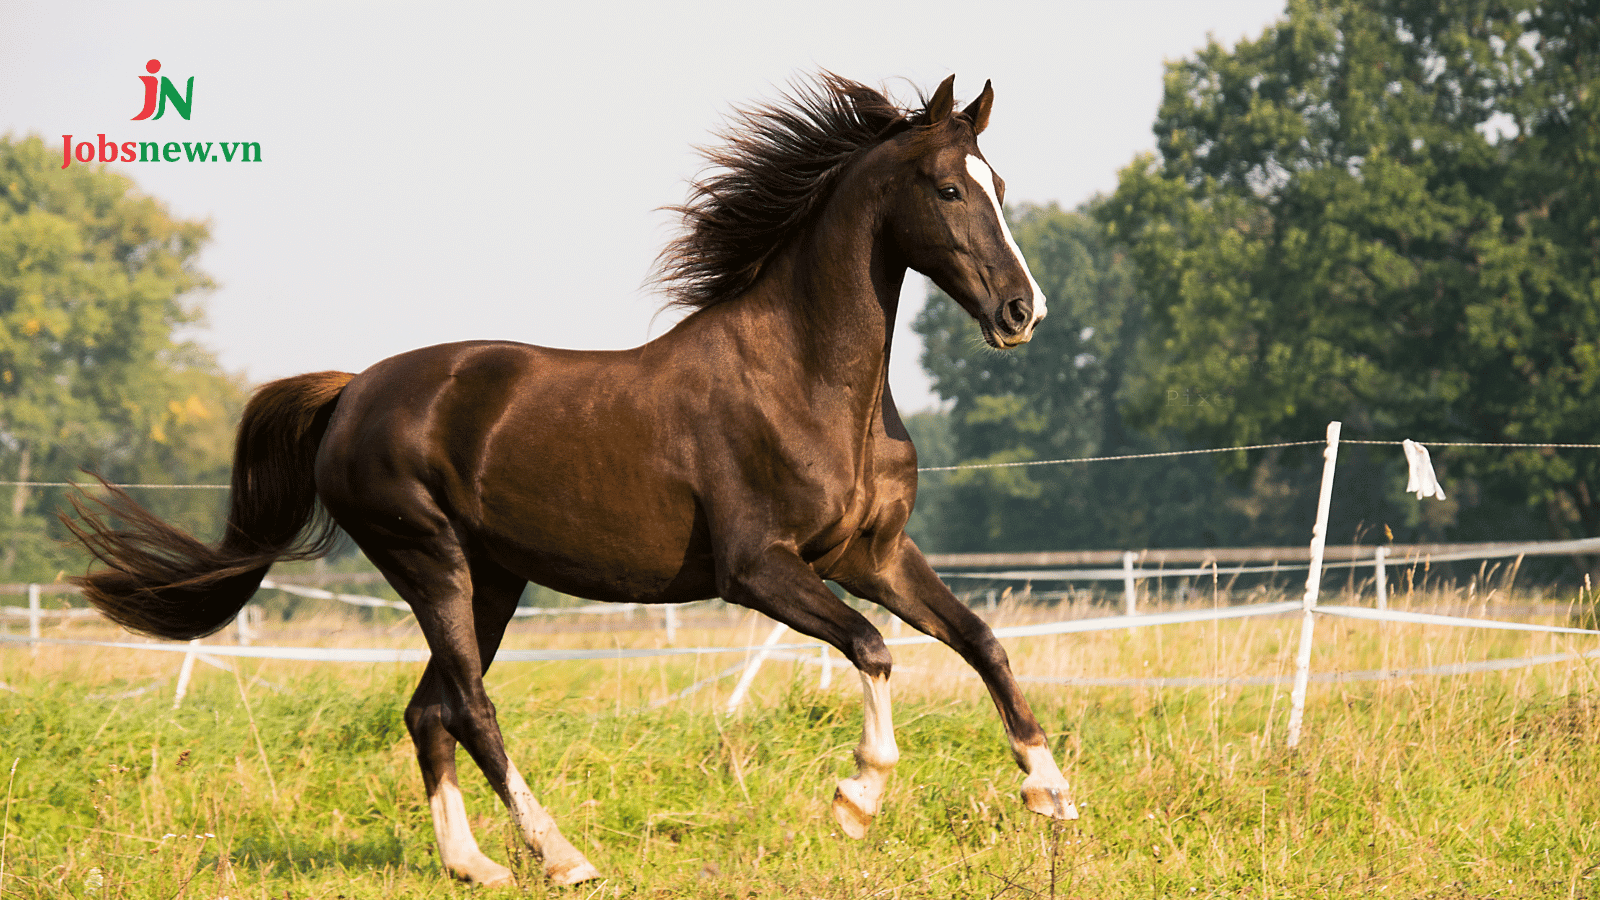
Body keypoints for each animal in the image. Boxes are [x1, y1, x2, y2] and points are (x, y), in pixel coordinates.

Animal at [68, 73, 1081, 883]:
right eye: (948, 187)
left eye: (999, 185)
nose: (1021, 312)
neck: (806, 382)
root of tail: (353, 390)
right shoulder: (758, 570)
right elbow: (873, 648)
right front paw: (857, 800)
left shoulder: (872, 555)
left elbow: (981, 639)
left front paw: (1052, 792)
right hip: (429, 560)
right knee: (469, 707)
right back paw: (561, 856)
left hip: (492, 578)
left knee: (427, 709)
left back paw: (473, 865)